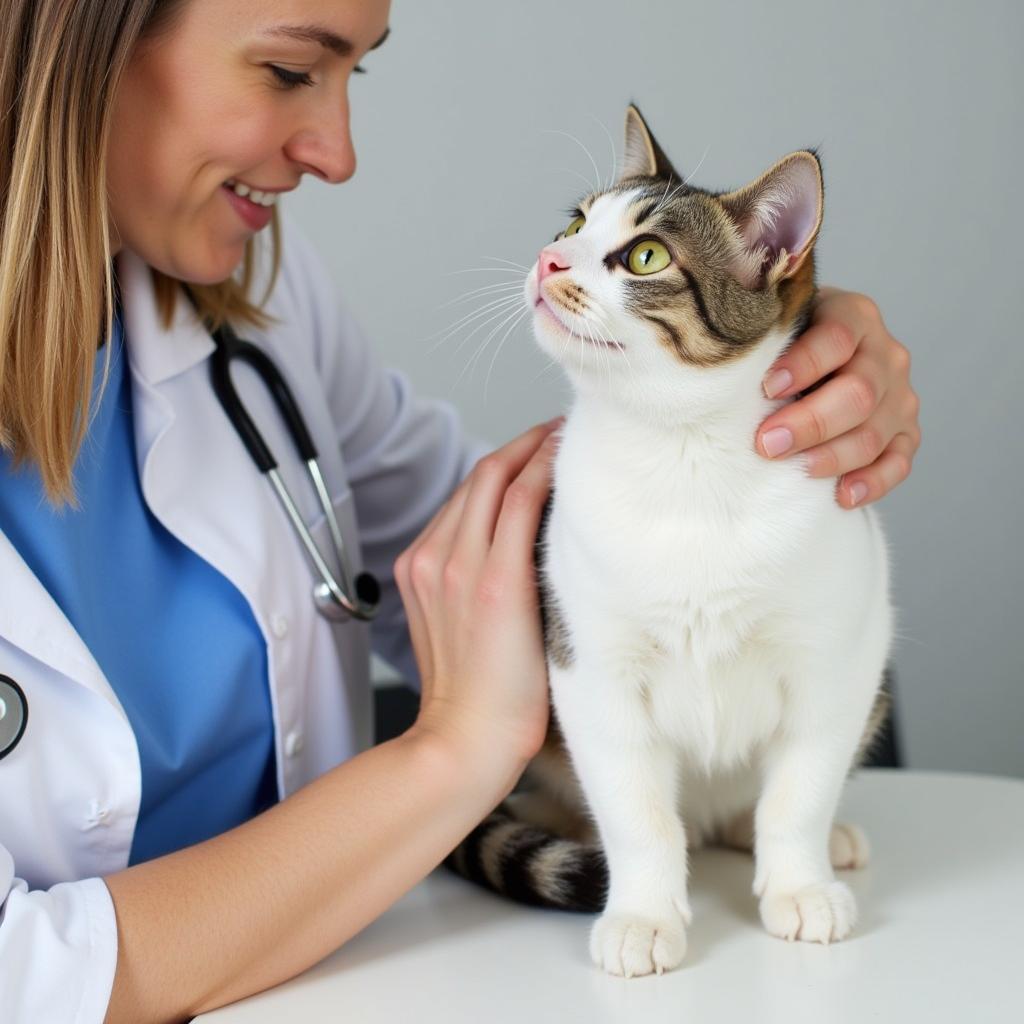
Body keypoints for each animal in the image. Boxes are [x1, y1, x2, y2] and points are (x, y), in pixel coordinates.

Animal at [444, 103, 892, 974]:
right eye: (575, 223)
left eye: (645, 255)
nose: (549, 258)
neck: (685, 455)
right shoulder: (591, 667)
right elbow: (636, 810)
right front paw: (644, 913)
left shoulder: (837, 658)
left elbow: (801, 790)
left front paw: (800, 882)